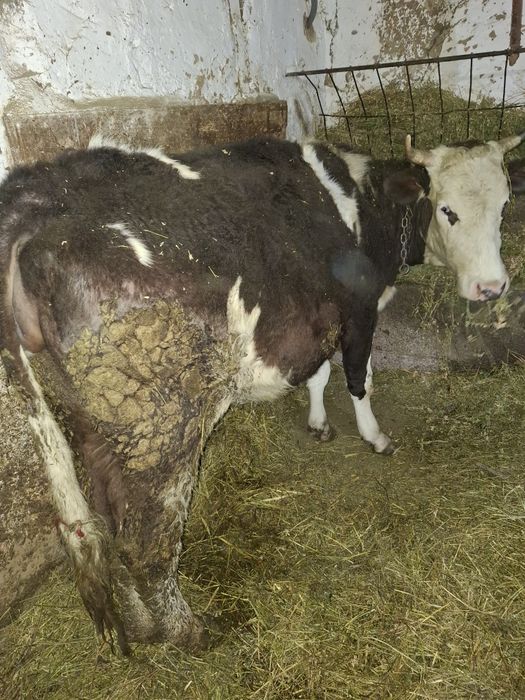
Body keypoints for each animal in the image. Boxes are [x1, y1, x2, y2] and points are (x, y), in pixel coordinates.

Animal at [0, 132, 522, 653]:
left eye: (503, 206)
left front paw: (319, 424)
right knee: (146, 542)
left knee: (108, 524)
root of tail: (33, 200)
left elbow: (317, 375)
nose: (492, 288)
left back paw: (144, 625)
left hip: (87, 421)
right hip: (160, 425)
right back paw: (189, 632)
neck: (363, 202)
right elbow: (359, 377)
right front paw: (374, 436)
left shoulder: (318, 319)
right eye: (447, 210)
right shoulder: (359, 308)